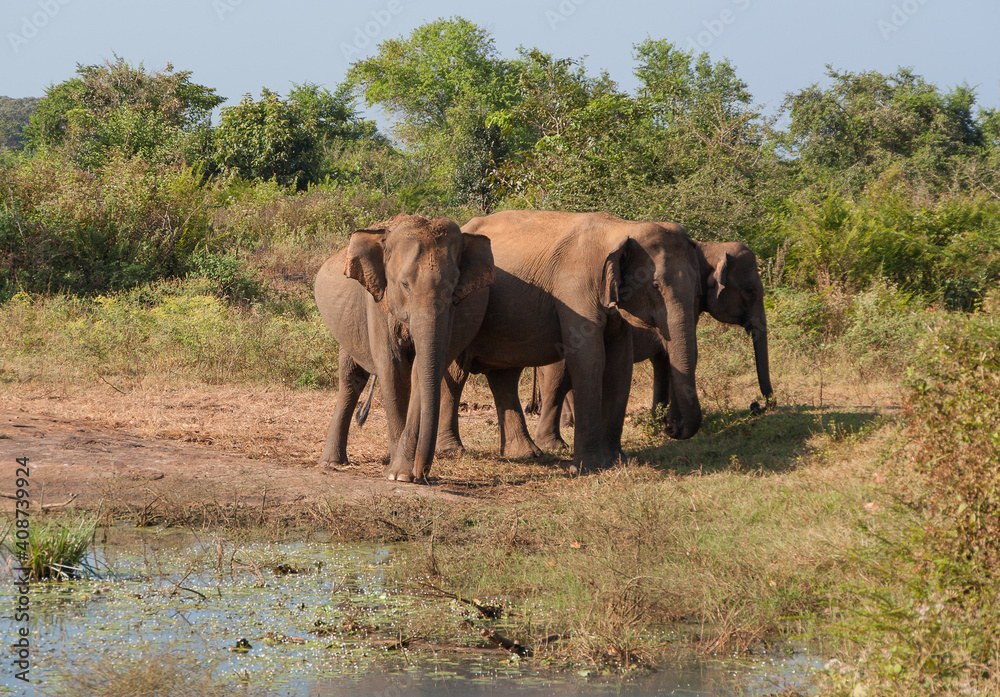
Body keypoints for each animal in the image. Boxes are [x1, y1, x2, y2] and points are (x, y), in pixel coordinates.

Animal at [313, 213, 495, 482]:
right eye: (405, 285)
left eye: (454, 288)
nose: (423, 473)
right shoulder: (378, 303)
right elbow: (393, 370)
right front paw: (396, 474)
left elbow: (422, 370)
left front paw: (402, 473)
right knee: (350, 377)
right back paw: (332, 463)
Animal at [434, 210, 703, 472]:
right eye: (656, 285)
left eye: (696, 284)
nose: (671, 427)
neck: (621, 229)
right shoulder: (575, 289)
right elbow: (588, 360)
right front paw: (588, 468)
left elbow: (619, 366)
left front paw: (618, 462)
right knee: (458, 373)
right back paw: (452, 450)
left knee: (505, 375)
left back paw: (527, 454)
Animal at [532, 240, 774, 451]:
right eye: (750, 290)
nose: (756, 405)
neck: (711, 247)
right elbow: (680, 353)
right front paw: (670, 423)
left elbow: (664, 359)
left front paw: (661, 421)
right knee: (560, 376)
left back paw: (567, 424)